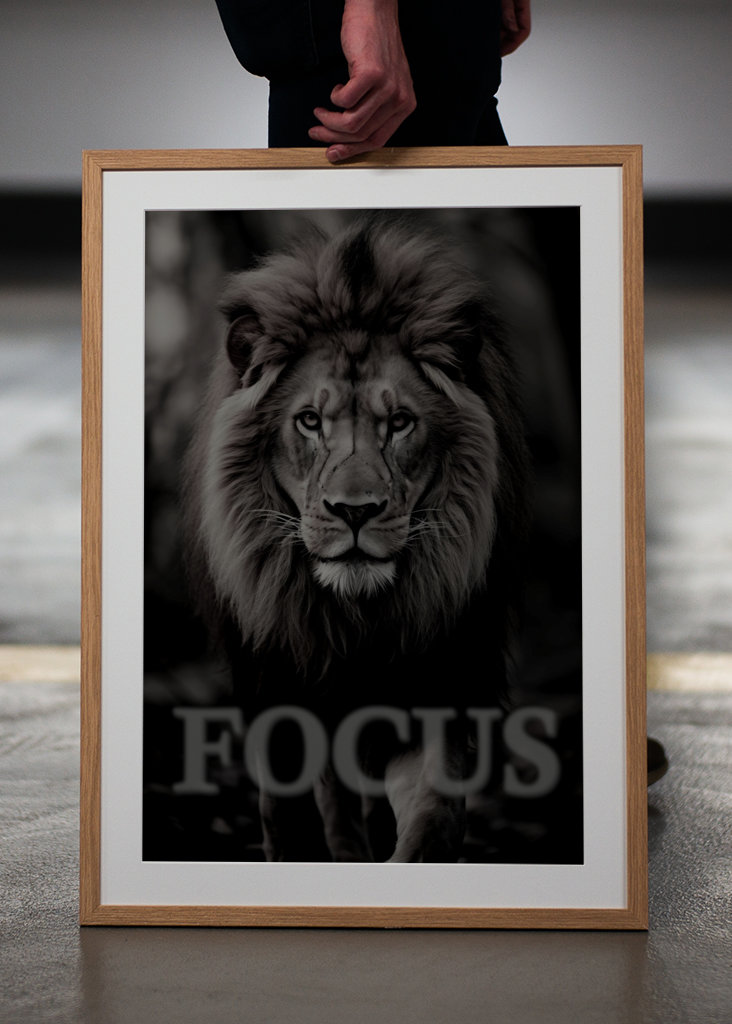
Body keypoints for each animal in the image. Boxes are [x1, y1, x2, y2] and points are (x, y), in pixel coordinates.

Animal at [184, 216, 529, 862]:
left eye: (399, 423)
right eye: (309, 421)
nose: (354, 512)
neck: (355, 622)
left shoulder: (438, 690)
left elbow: (433, 818)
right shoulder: (280, 695)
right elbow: (289, 818)